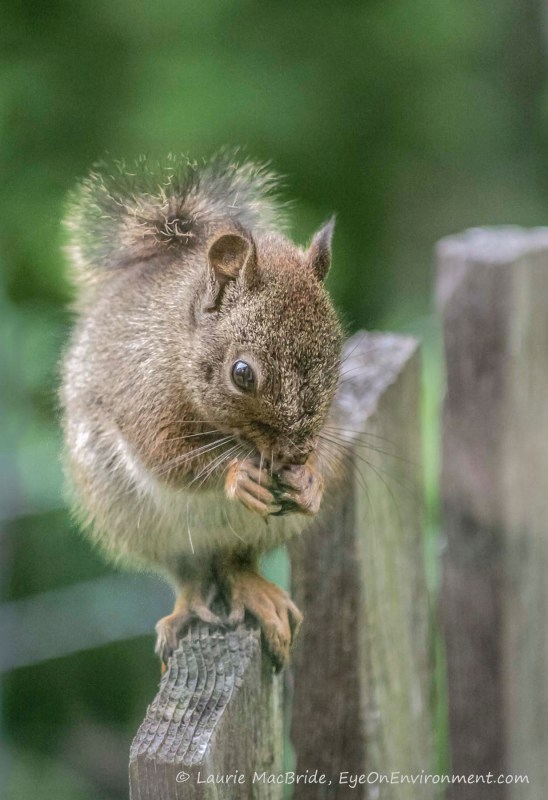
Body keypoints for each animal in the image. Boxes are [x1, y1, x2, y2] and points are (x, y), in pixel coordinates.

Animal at [60, 152, 343, 669]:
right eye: (242, 373)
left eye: (338, 355)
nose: (295, 455)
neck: (179, 342)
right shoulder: (144, 397)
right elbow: (169, 459)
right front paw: (237, 475)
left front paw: (310, 478)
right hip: (134, 518)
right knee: (189, 573)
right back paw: (190, 605)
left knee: (236, 562)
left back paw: (256, 591)